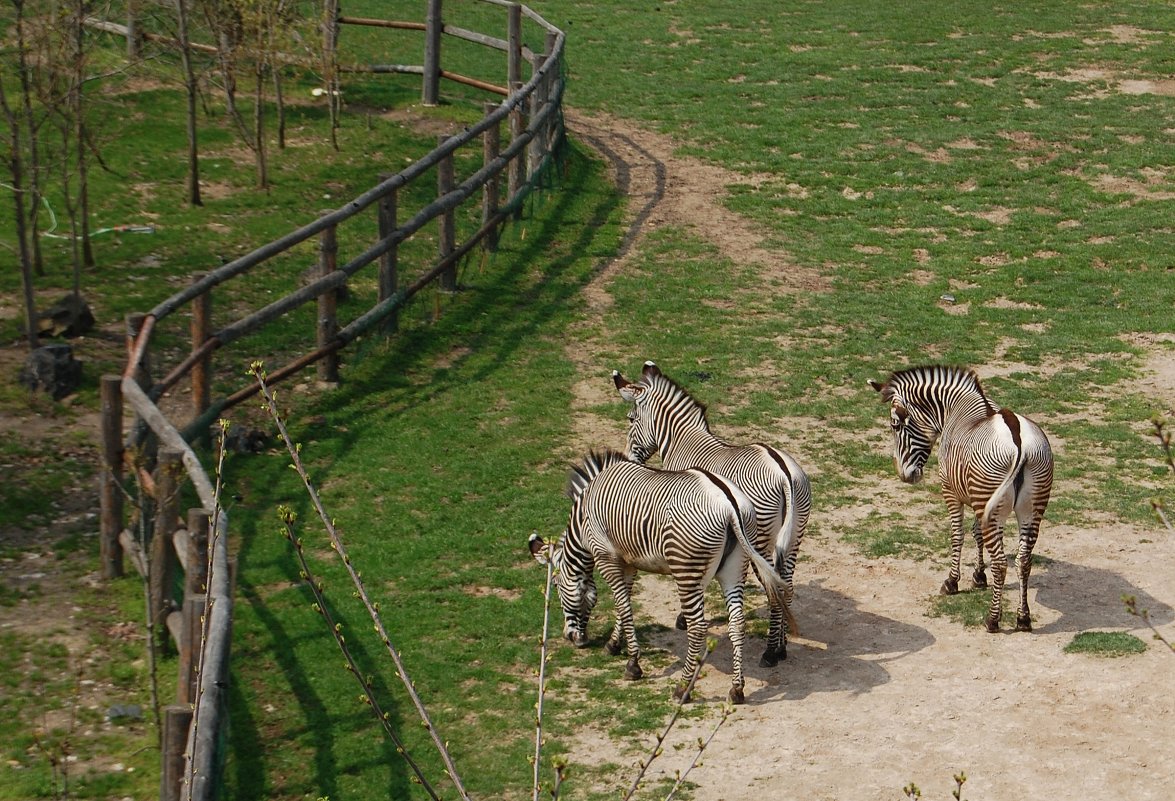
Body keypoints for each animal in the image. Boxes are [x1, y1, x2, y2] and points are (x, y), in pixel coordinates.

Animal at [528, 446, 784, 699]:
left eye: (556, 586)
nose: (574, 639)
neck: (583, 519)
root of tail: (730, 505)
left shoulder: (606, 557)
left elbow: (623, 605)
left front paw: (633, 663)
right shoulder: (628, 562)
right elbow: (624, 603)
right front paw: (614, 644)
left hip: (686, 569)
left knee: (697, 627)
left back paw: (682, 688)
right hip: (734, 568)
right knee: (737, 623)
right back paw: (737, 688)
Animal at [615, 359, 808, 662]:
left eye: (631, 419)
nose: (627, 459)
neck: (682, 440)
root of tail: (783, 473)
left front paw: (683, 619)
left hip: (761, 539)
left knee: (774, 587)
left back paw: (770, 652)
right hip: (794, 537)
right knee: (786, 586)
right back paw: (782, 646)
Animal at [864, 364, 1057, 629]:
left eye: (895, 425)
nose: (904, 475)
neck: (956, 407)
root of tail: (1018, 441)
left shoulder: (951, 491)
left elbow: (957, 535)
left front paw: (952, 581)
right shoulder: (976, 497)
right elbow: (977, 533)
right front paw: (978, 575)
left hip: (995, 505)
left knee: (1001, 563)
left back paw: (992, 619)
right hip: (1031, 507)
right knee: (1023, 561)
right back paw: (1023, 618)